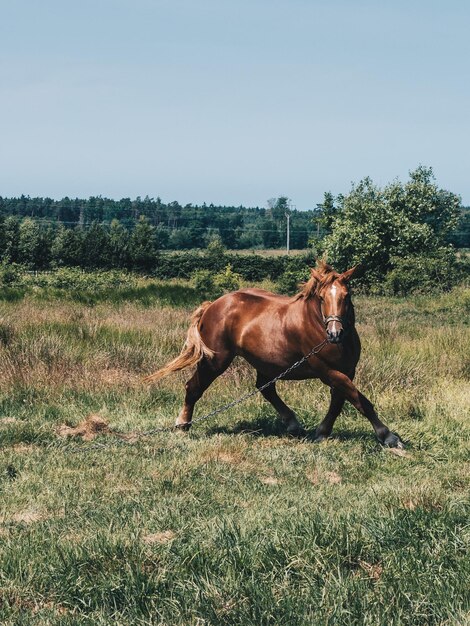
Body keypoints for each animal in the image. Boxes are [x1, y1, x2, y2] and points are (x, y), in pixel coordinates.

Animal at [147, 260, 404, 446]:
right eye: (322, 298)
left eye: (346, 296)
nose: (334, 333)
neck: (316, 323)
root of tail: (213, 305)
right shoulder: (328, 371)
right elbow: (360, 401)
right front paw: (389, 437)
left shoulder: (347, 371)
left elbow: (339, 402)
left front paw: (321, 433)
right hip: (215, 361)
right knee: (193, 387)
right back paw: (183, 424)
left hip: (264, 362)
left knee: (265, 388)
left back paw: (293, 424)